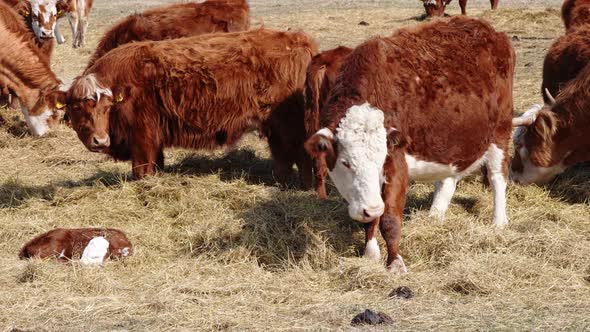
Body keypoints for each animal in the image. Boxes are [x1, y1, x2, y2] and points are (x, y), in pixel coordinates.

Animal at [49, 29, 320, 187]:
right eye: (77, 108)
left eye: (106, 108)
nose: (100, 140)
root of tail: (298, 39)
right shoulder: (154, 138)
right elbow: (156, 164)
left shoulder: (142, 137)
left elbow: (141, 170)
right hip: (277, 127)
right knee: (283, 157)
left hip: (291, 124)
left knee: (301, 156)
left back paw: (304, 187)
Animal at [308, 15, 516, 274]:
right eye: (346, 163)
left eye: (380, 161)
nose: (370, 208)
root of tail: (491, 31)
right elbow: (373, 219)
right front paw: (370, 253)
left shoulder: (396, 163)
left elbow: (389, 219)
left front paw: (395, 262)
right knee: (448, 181)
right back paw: (435, 217)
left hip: (500, 132)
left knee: (498, 177)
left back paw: (499, 221)